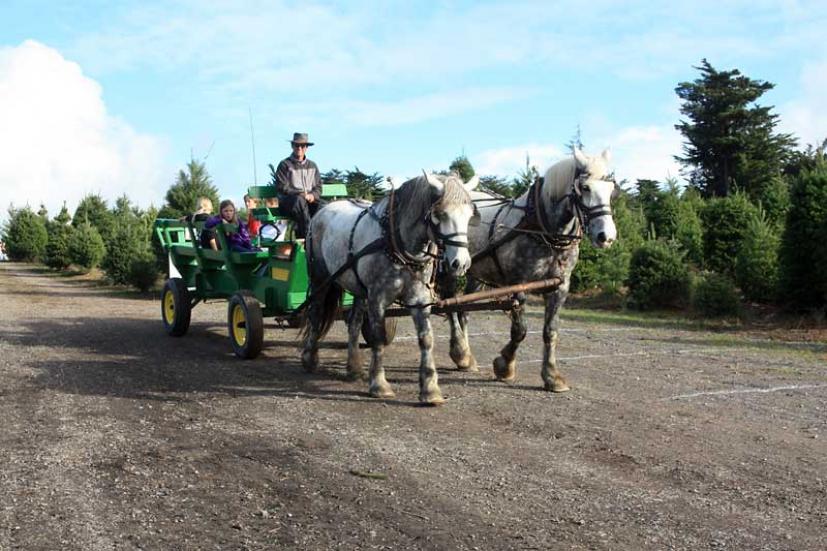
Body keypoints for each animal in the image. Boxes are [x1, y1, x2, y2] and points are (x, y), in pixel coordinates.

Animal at [300, 172, 478, 406]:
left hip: (358, 288)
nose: (461, 263)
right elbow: (378, 337)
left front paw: (430, 389)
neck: (397, 242)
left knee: (354, 323)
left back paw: (353, 367)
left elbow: (426, 339)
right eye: (441, 214)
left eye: (469, 215)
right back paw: (310, 358)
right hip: (321, 278)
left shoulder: (420, 298)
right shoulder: (378, 297)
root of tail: (322, 211)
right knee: (316, 314)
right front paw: (379, 384)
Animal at [446, 149, 616, 392]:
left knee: (464, 310)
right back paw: (459, 352)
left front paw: (552, 376)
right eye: (585, 188)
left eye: (611, 189)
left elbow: (550, 331)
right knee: (450, 305)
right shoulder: (519, 285)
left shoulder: (560, 287)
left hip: (475, 274)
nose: (606, 237)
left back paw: (467, 358)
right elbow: (520, 330)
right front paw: (505, 365)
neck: (543, 229)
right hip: (451, 266)